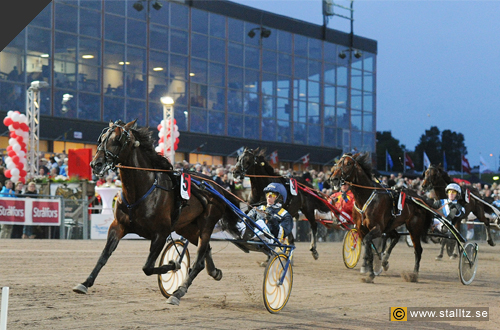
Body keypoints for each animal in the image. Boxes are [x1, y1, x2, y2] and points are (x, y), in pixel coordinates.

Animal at [71, 120, 241, 306]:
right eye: (101, 139)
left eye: (117, 140)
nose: (96, 164)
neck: (140, 191)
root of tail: (219, 188)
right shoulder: (118, 226)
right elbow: (104, 256)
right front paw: (85, 283)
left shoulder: (161, 233)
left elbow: (147, 267)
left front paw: (174, 265)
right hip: (187, 227)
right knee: (205, 253)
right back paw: (214, 272)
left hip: (206, 224)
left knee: (198, 261)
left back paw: (178, 292)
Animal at [330, 153, 432, 282]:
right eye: (337, 163)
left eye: (348, 163)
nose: (334, 179)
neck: (364, 198)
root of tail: (419, 198)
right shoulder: (361, 229)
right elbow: (368, 247)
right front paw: (370, 271)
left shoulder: (377, 228)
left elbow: (369, 242)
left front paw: (371, 273)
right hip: (391, 225)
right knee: (396, 237)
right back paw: (385, 261)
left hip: (413, 228)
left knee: (418, 250)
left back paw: (413, 275)